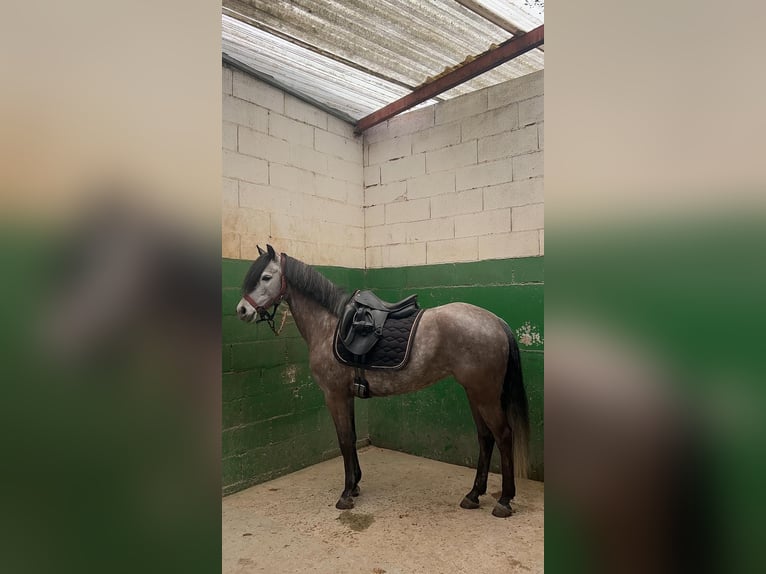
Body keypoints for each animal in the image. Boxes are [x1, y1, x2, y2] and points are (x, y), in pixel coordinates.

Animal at [236, 244, 530, 518]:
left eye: (265, 277)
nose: (242, 310)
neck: (330, 325)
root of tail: (496, 321)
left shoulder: (334, 395)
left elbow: (344, 440)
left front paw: (346, 494)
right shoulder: (347, 395)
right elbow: (352, 437)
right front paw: (355, 484)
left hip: (485, 395)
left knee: (503, 435)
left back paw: (504, 500)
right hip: (474, 392)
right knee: (485, 437)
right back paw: (473, 495)